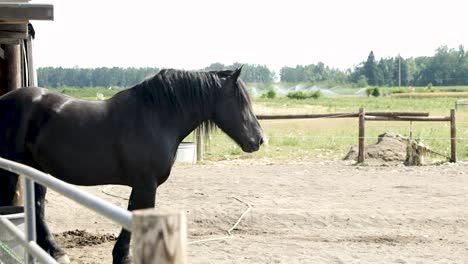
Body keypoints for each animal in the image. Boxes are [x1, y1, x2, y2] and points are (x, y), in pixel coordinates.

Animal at [0, 67, 264, 262]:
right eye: (240, 101)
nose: (259, 139)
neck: (156, 118)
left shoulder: (142, 185)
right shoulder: (147, 185)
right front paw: (123, 256)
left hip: (36, 168)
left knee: (37, 206)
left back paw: (55, 251)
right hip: (12, 170)